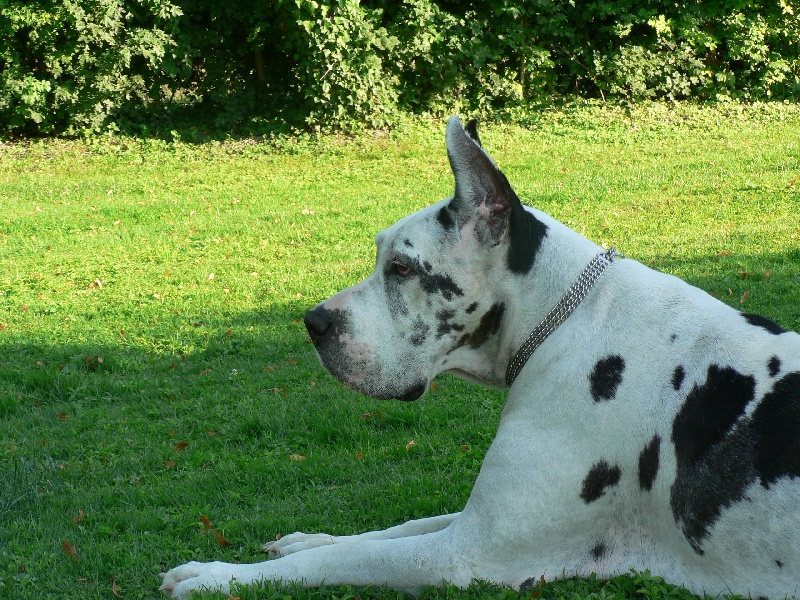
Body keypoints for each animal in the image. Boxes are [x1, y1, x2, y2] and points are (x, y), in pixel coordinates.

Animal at [161, 115, 800, 596]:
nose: (314, 322)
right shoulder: (474, 523)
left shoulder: (467, 556)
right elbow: (392, 528)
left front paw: (219, 577)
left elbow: (334, 564)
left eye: (401, 268)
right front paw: (305, 537)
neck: (564, 324)